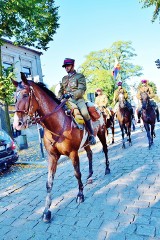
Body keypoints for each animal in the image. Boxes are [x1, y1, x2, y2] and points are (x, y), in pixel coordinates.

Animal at [12, 71, 110, 223]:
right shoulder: (52, 156)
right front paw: (46, 211)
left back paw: (107, 169)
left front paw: (80, 195)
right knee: (89, 154)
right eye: (14, 97)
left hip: (101, 133)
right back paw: (90, 175)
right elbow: (49, 183)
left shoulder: (73, 153)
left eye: (25, 94)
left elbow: (77, 173)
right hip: (86, 143)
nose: (17, 124)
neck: (56, 124)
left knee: (105, 149)